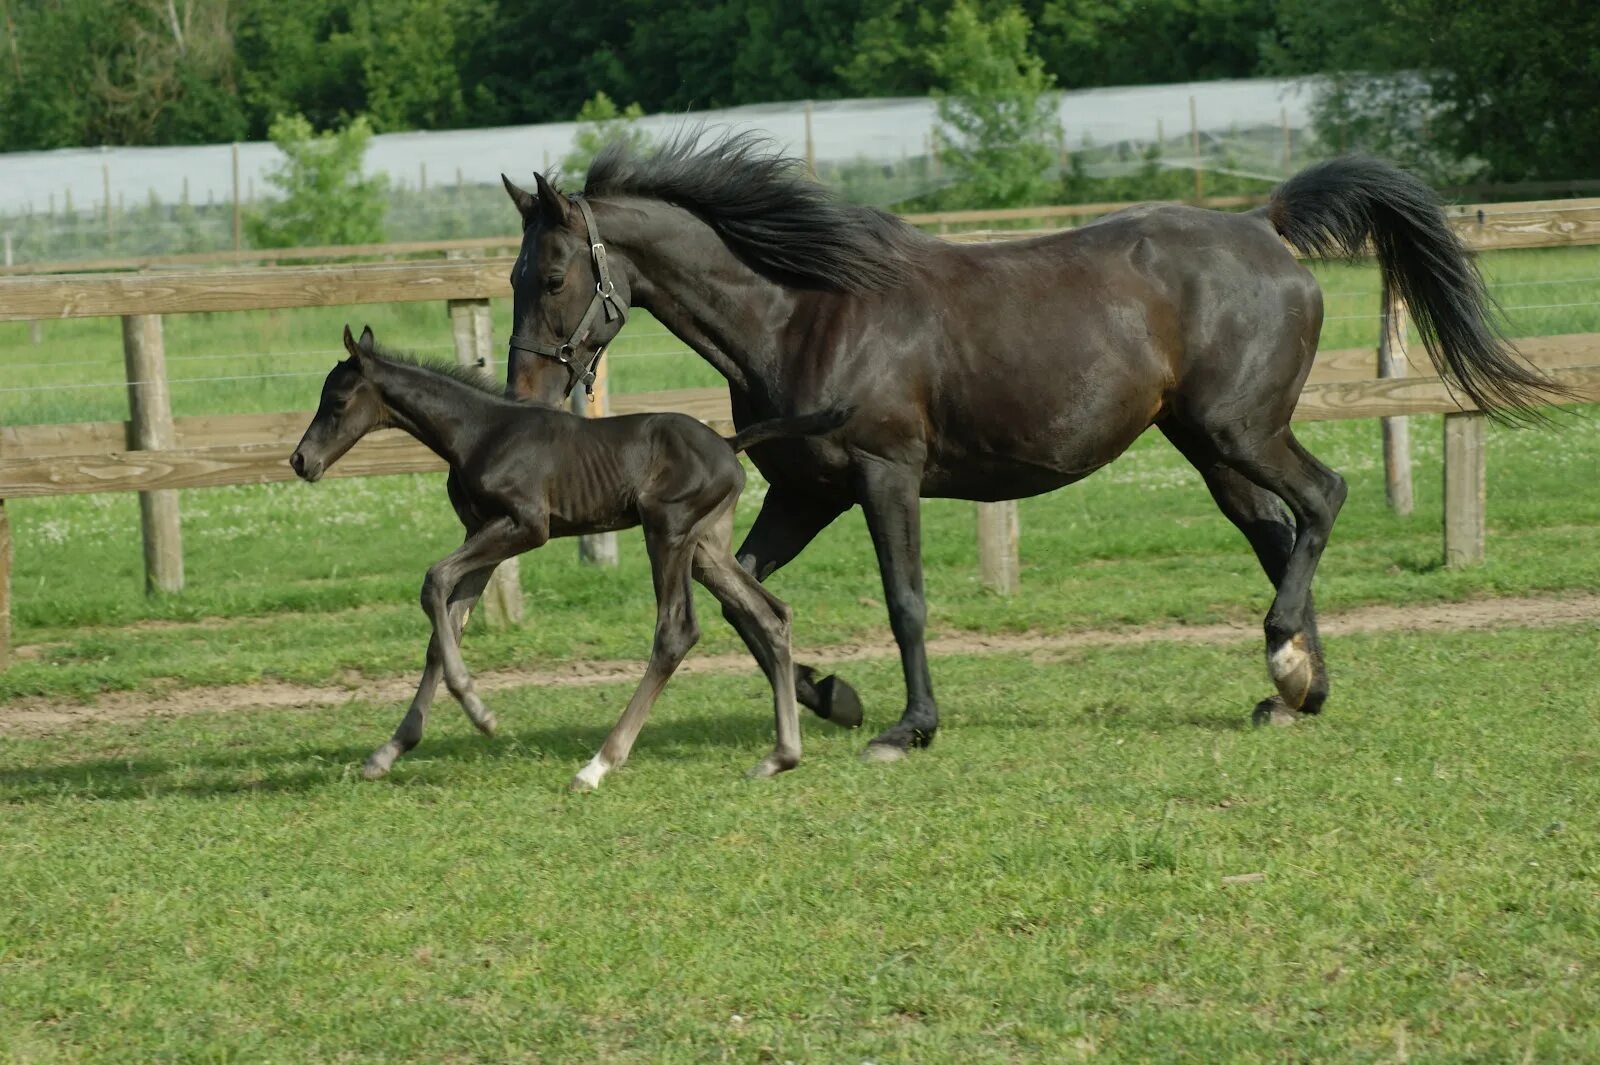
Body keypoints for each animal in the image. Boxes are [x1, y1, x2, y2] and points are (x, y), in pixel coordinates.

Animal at [294, 326, 857, 786]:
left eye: (338, 400)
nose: (301, 461)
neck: (476, 433)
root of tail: (727, 441)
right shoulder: (483, 532)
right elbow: (446, 625)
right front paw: (389, 751)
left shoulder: (527, 526)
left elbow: (434, 580)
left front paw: (480, 713)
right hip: (706, 548)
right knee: (770, 614)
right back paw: (780, 756)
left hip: (667, 529)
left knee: (676, 630)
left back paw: (599, 764)